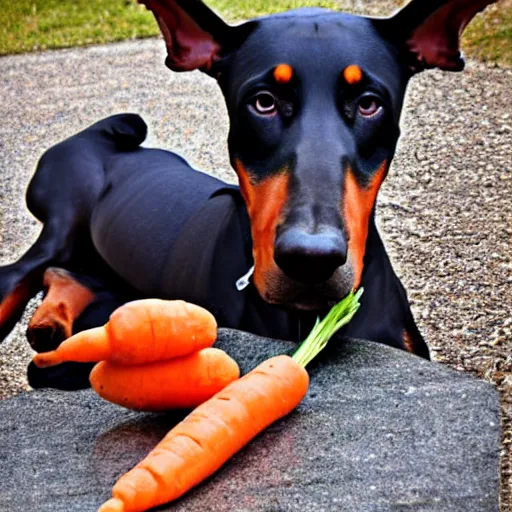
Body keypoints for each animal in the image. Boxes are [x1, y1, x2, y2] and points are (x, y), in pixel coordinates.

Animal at [0, 0, 496, 388]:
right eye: (263, 102)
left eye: (369, 103)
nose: (310, 259)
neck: (306, 318)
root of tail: (97, 135)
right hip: (64, 221)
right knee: (24, 278)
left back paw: (49, 324)